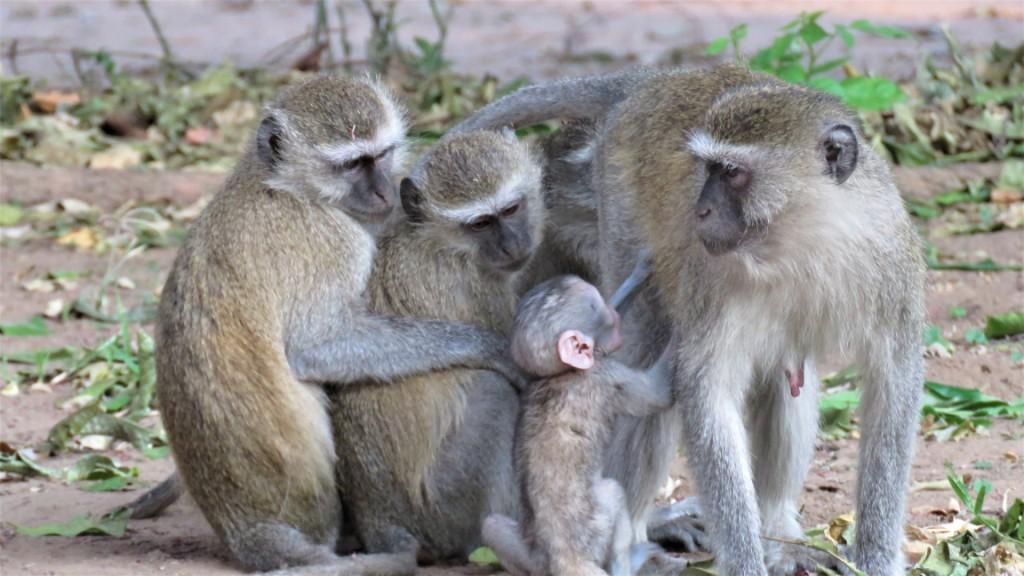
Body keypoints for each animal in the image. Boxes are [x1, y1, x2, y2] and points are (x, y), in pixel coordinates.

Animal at [159, 75, 532, 569]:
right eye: (353, 165)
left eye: (381, 155)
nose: (384, 193)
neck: (281, 185)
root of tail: (244, 530)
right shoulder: (337, 241)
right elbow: (315, 347)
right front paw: (494, 348)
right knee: (492, 393)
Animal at [485, 274, 675, 573]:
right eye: (599, 309)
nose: (614, 316)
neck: (559, 373)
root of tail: (565, 559)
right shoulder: (606, 376)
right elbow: (659, 394)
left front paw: (640, 273)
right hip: (595, 529)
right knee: (613, 492)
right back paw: (627, 565)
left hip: (533, 557)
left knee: (490, 524)